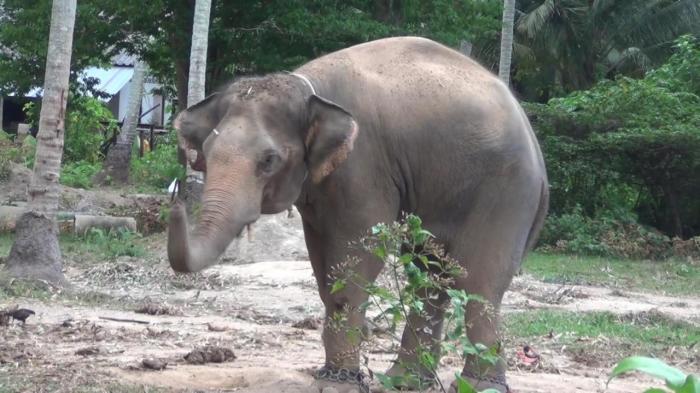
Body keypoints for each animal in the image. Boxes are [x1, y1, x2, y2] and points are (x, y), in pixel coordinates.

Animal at [168, 36, 548, 392]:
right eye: (206, 152)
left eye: (268, 160)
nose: (175, 200)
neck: (306, 89)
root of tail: (534, 141)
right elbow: (325, 266)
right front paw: (335, 373)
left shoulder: (363, 166)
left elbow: (356, 255)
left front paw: (336, 384)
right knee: (429, 274)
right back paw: (405, 381)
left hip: (506, 190)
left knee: (476, 282)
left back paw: (479, 386)